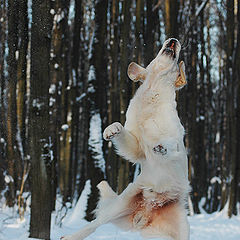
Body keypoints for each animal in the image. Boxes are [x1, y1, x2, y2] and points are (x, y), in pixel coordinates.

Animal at [61, 38, 189, 239]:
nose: (173, 40)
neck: (153, 96)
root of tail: (144, 213)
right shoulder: (137, 150)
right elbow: (124, 133)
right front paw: (111, 129)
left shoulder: (176, 139)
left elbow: (170, 143)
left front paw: (161, 147)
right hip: (119, 206)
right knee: (94, 225)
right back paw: (70, 236)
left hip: (182, 229)